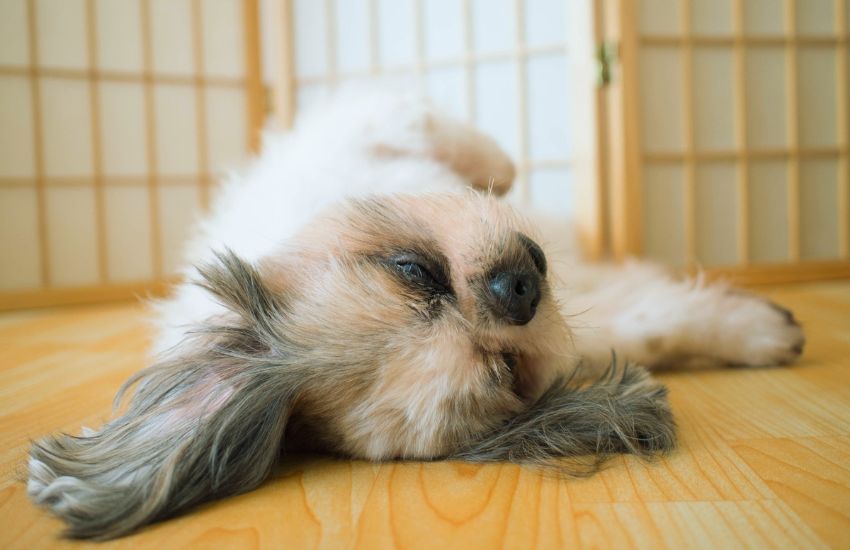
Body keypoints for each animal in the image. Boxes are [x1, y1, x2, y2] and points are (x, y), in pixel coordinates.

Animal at [26, 92, 800, 540]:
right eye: (504, 369)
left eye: (414, 271)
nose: (517, 289)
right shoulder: (586, 325)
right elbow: (658, 322)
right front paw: (761, 332)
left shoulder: (368, 131)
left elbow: (446, 137)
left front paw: (495, 167)